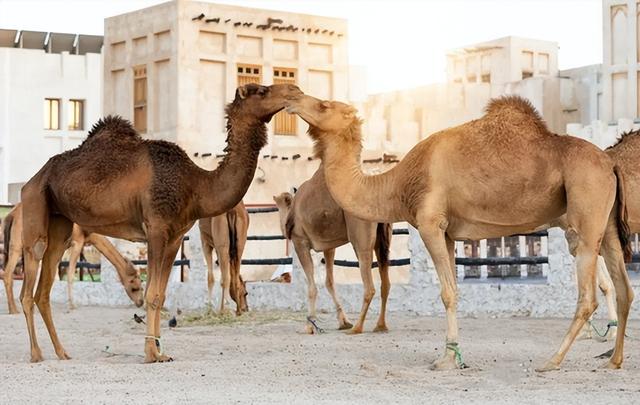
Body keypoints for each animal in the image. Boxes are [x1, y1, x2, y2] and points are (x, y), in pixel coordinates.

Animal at [1, 202, 142, 312]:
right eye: (135, 286)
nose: (140, 302)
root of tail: (11, 215)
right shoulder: (77, 242)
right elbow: (69, 274)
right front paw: (72, 305)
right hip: (18, 246)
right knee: (7, 273)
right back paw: (14, 310)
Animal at [17, 83, 302, 362]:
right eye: (262, 91)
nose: (295, 90)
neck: (196, 185)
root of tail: (33, 179)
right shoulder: (155, 228)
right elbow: (152, 293)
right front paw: (151, 353)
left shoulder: (175, 236)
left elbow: (161, 293)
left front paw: (160, 351)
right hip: (35, 205)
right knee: (29, 282)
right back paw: (36, 354)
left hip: (60, 222)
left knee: (44, 288)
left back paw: (61, 352)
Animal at [272, 167, 392, 334]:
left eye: (280, 206)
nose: (283, 226)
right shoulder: (329, 246)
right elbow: (329, 281)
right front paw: (344, 322)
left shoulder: (300, 242)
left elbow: (312, 286)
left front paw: (309, 326)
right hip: (383, 236)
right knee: (385, 282)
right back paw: (380, 326)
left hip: (360, 234)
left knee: (369, 286)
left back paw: (357, 328)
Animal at [288, 93, 632, 370]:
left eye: (323, 105)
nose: (293, 97)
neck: (400, 183)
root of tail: (610, 163)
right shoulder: (450, 234)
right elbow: (454, 289)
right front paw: (454, 355)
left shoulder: (430, 224)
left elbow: (447, 293)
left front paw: (446, 360)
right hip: (607, 226)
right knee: (624, 288)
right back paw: (613, 360)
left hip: (586, 211)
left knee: (588, 296)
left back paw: (552, 361)